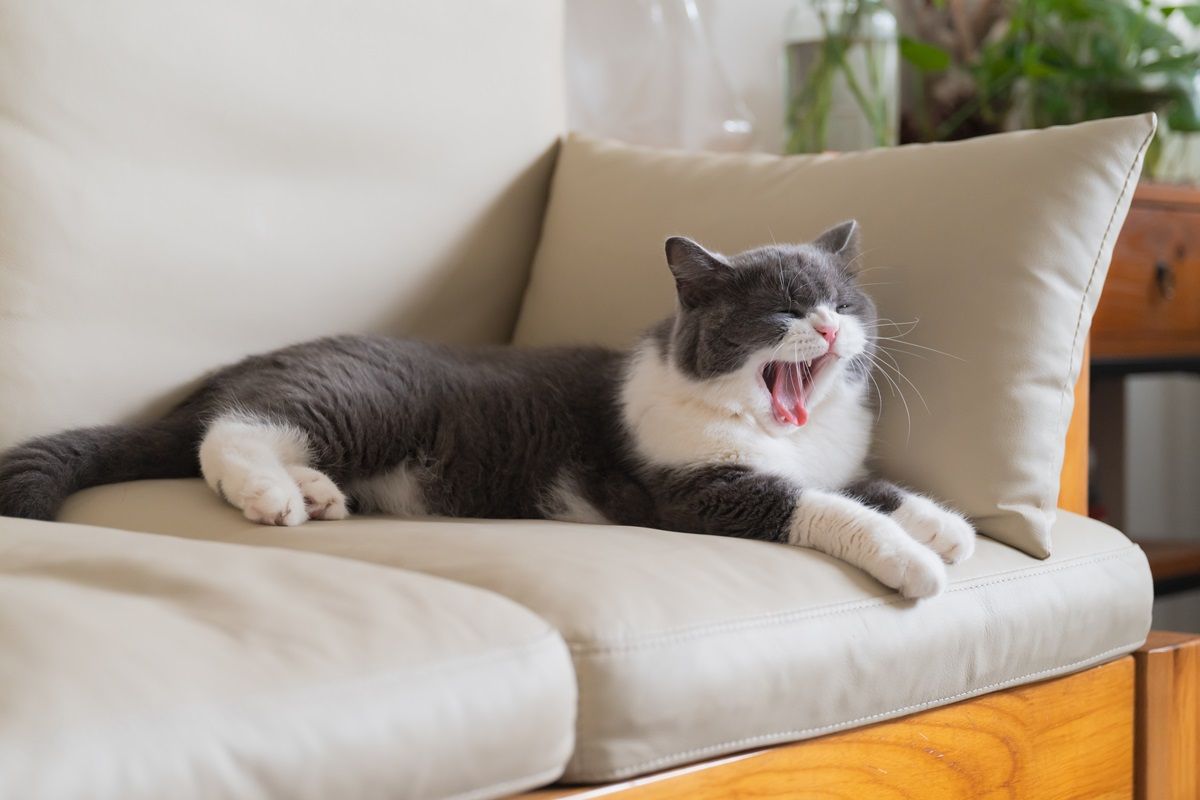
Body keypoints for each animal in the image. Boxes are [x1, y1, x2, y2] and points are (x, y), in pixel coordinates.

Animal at [0, 221, 974, 597]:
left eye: (843, 303)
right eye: (780, 312)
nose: (829, 327)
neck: (774, 429)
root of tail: (244, 363)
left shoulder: (834, 459)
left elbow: (868, 487)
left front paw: (948, 528)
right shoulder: (696, 491)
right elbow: (823, 509)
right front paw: (915, 563)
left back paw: (316, 493)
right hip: (363, 398)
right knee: (230, 432)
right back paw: (277, 497)